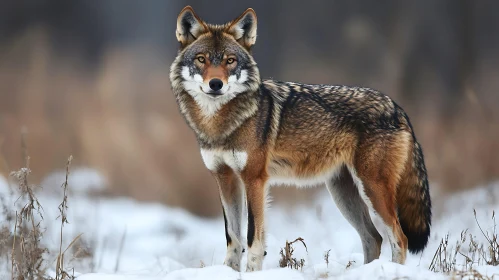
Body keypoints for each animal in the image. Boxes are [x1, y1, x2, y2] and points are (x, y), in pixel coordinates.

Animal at [170, 4, 432, 272]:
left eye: (230, 61)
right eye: (201, 59)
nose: (215, 84)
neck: (220, 124)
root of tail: (397, 108)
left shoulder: (255, 179)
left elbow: (253, 238)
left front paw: (252, 273)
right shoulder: (225, 178)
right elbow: (233, 238)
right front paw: (230, 272)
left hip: (372, 189)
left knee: (399, 238)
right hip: (344, 194)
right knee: (374, 238)